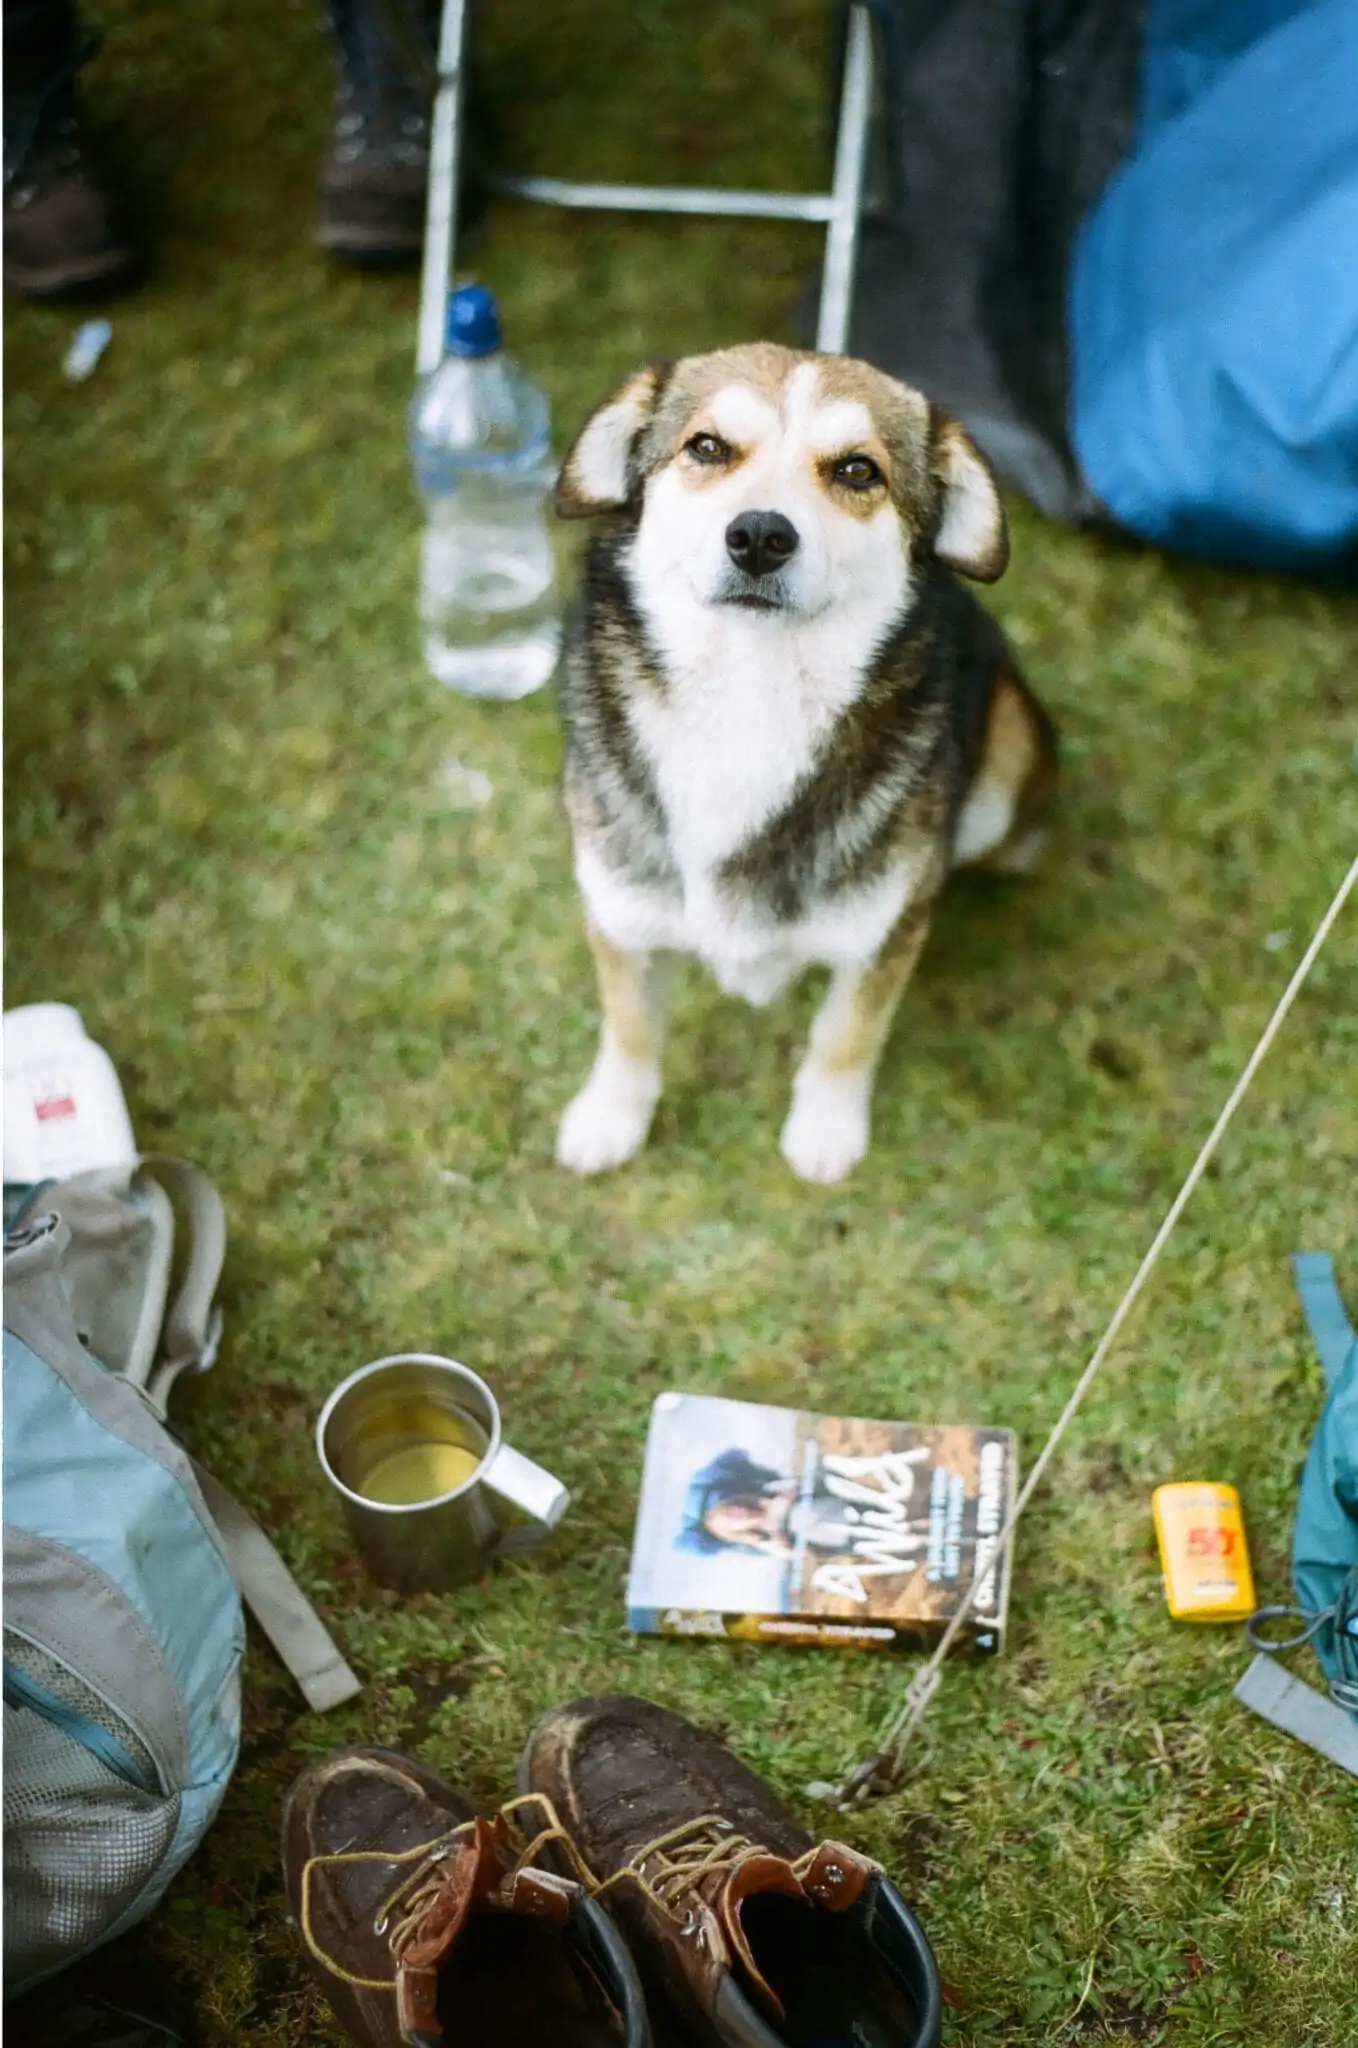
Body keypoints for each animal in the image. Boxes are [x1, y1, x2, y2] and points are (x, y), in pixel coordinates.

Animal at [548, 348, 1056, 1187]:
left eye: (857, 469)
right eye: (707, 447)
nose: (759, 535)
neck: (751, 700)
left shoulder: (884, 933)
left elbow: (847, 1033)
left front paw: (825, 1131)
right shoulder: (620, 910)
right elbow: (628, 1024)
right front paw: (611, 1118)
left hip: (1009, 752)